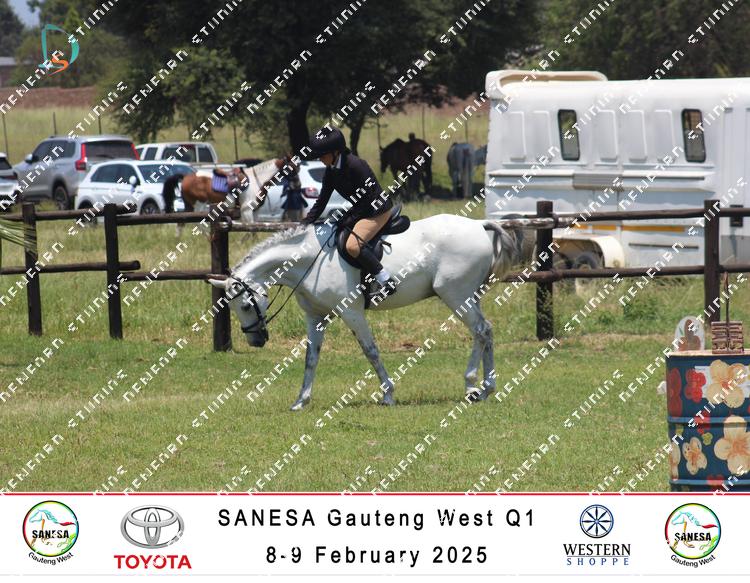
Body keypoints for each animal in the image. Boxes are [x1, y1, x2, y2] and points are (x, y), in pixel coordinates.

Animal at [208, 214, 523, 411]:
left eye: (245, 305)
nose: (256, 340)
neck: (310, 261)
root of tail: (479, 225)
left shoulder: (351, 312)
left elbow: (370, 351)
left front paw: (388, 395)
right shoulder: (316, 317)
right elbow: (311, 359)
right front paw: (301, 401)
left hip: (456, 295)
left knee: (479, 331)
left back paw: (473, 385)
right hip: (468, 296)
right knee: (486, 331)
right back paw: (484, 387)